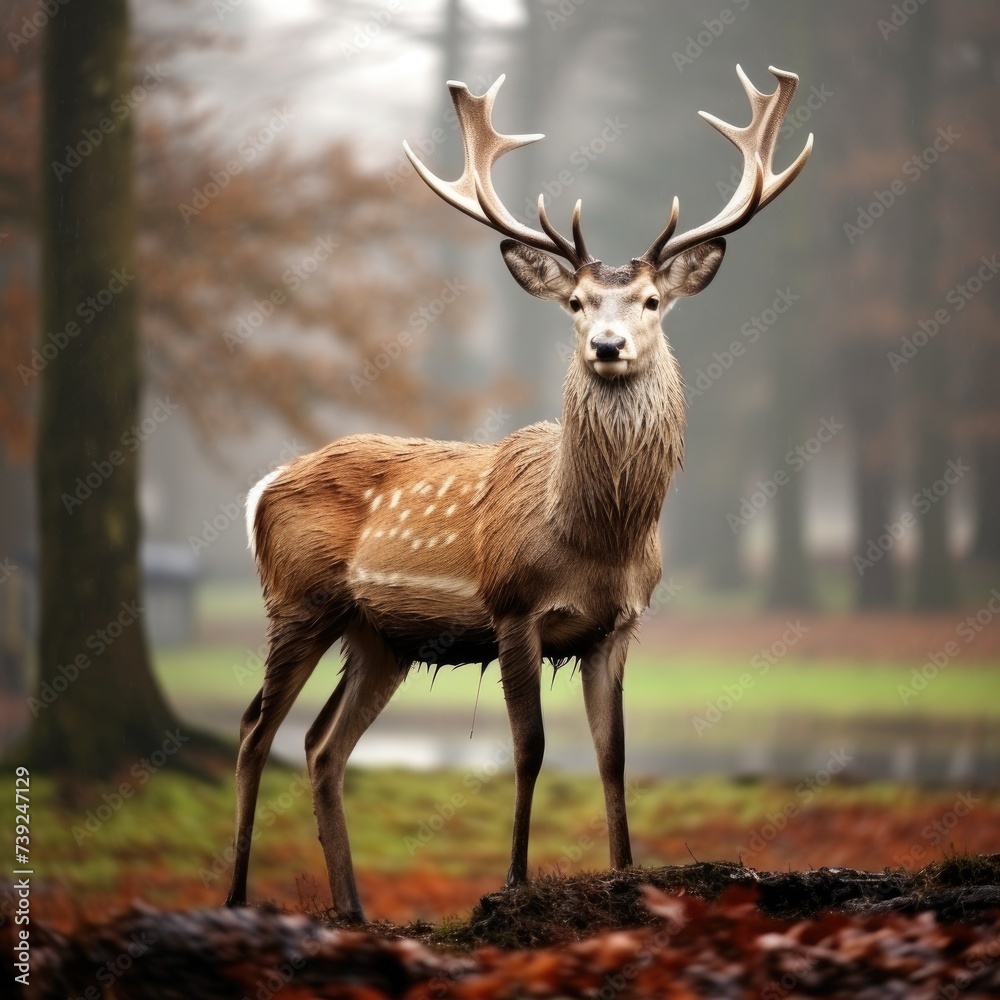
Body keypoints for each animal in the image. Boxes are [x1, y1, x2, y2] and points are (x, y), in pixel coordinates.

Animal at [225, 66, 812, 921]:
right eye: (575, 304)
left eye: (651, 302)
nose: (608, 345)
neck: (595, 539)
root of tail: (262, 486)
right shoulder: (512, 608)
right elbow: (529, 748)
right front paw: (512, 881)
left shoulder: (619, 624)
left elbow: (612, 752)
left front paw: (625, 873)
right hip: (298, 600)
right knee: (254, 730)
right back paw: (237, 898)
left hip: (379, 636)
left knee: (322, 745)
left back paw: (353, 909)